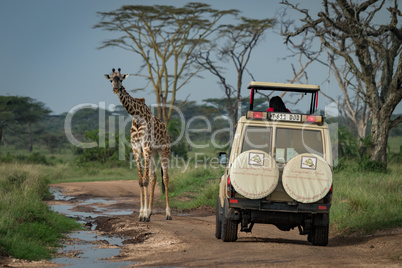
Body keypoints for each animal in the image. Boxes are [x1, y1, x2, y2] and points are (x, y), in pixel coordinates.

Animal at [104, 68, 172, 221]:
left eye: (121, 79)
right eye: (111, 80)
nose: (116, 89)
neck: (136, 115)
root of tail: (166, 131)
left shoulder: (145, 146)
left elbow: (145, 180)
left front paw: (145, 215)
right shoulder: (136, 147)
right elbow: (141, 180)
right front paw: (142, 214)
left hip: (164, 150)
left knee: (165, 178)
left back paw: (168, 214)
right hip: (152, 152)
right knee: (154, 177)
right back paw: (151, 211)